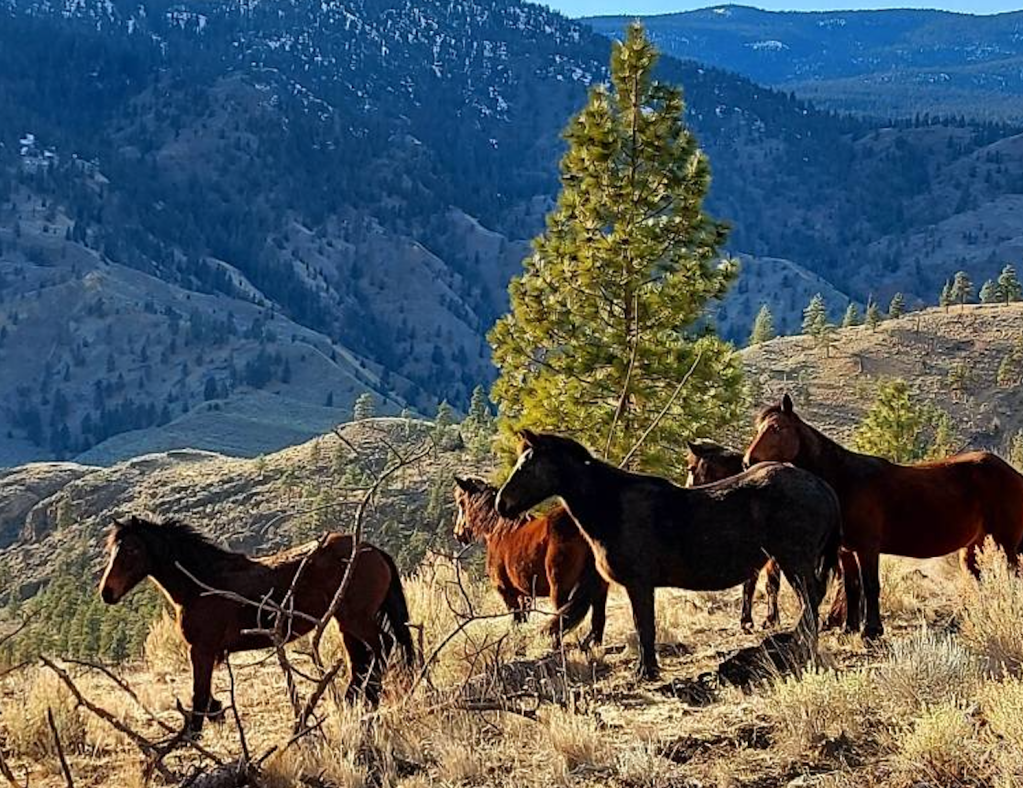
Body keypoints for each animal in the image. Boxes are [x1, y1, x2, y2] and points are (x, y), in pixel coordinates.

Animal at [99, 515, 417, 732]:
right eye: (112, 550)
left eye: (132, 551)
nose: (106, 592)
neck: (202, 583)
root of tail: (372, 550)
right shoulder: (208, 651)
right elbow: (204, 693)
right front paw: (216, 713)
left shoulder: (202, 649)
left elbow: (199, 693)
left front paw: (193, 731)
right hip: (344, 622)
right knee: (360, 661)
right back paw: (354, 702)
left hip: (356, 619)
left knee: (382, 646)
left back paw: (369, 699)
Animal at [453, 476, 608, 647]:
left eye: (461, 503)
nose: (457, 534)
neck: (498, 529)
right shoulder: (525, 595)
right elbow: (523, 620)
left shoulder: (507, 593)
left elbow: (517, 622)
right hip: (600, 588)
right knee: (598, 619)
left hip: (560, 590)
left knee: (562, 619)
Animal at [744, 393, 1023, 639]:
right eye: (759, 428)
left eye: (777, 428)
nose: (748, 462)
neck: (845, 480)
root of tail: (1013, 473)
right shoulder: (846, 551)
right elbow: (852, 587)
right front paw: (850, 628)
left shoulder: (867, 547)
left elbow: (870, 585)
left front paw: (871, 631)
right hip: (974, 545)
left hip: (1006, 543)